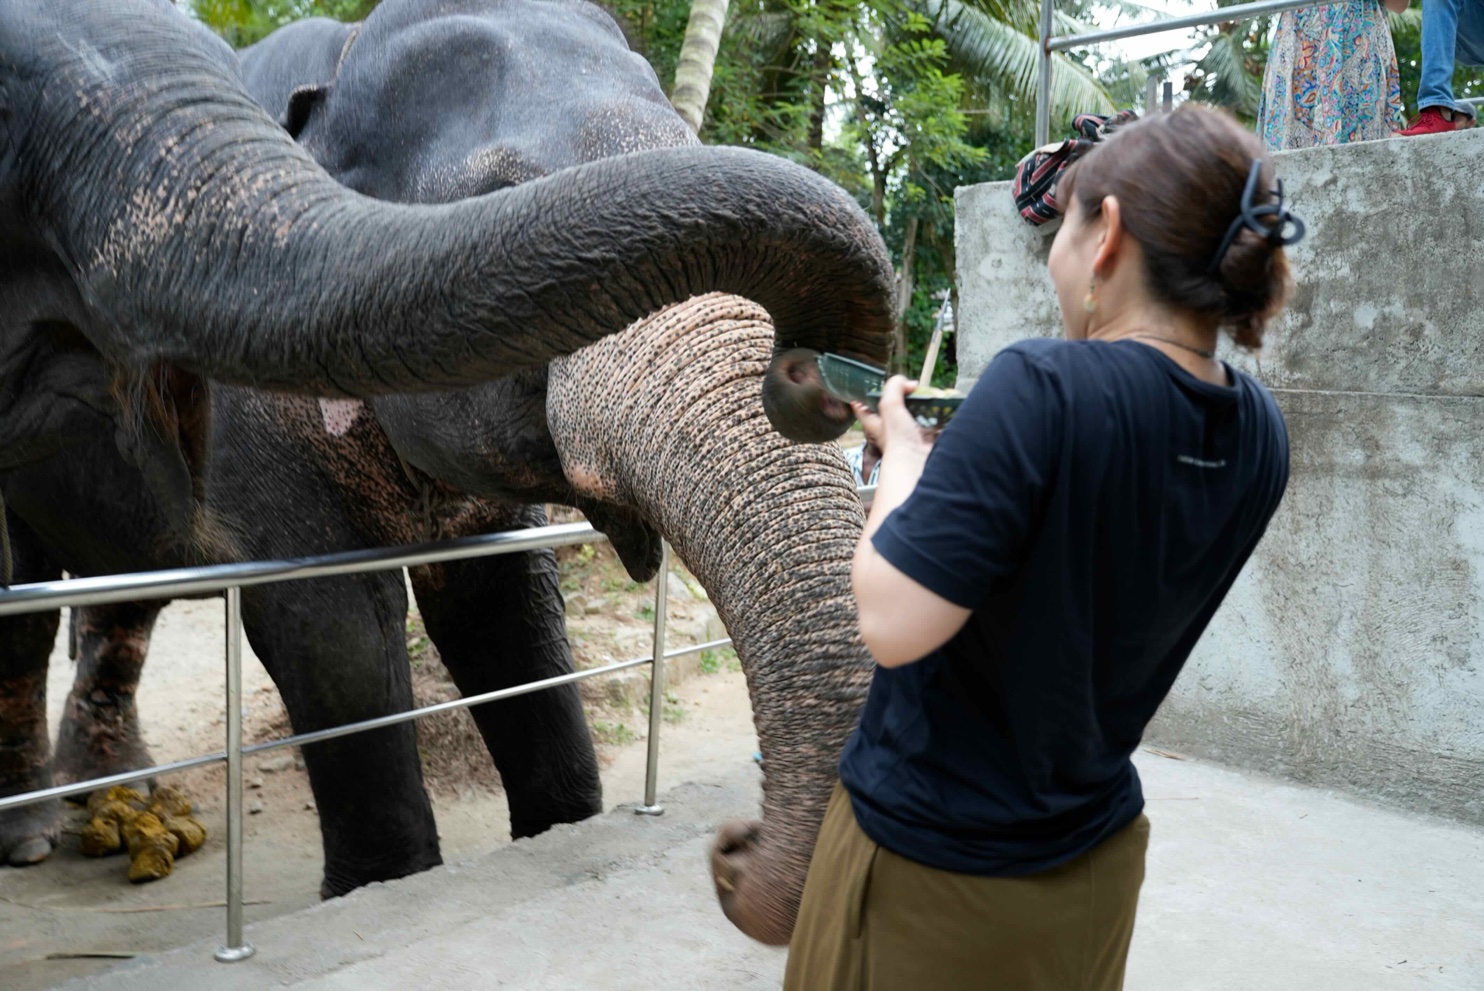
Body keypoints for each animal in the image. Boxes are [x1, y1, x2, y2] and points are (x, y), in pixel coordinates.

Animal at [0, 0, 896, 900]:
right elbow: (336, 630)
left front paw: (560, 825)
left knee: (122, 599)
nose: (735, 848)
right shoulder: (248, 407)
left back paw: (115, 801)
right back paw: (38, 835)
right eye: (507, 197)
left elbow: (506, 605)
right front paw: (378, 884)